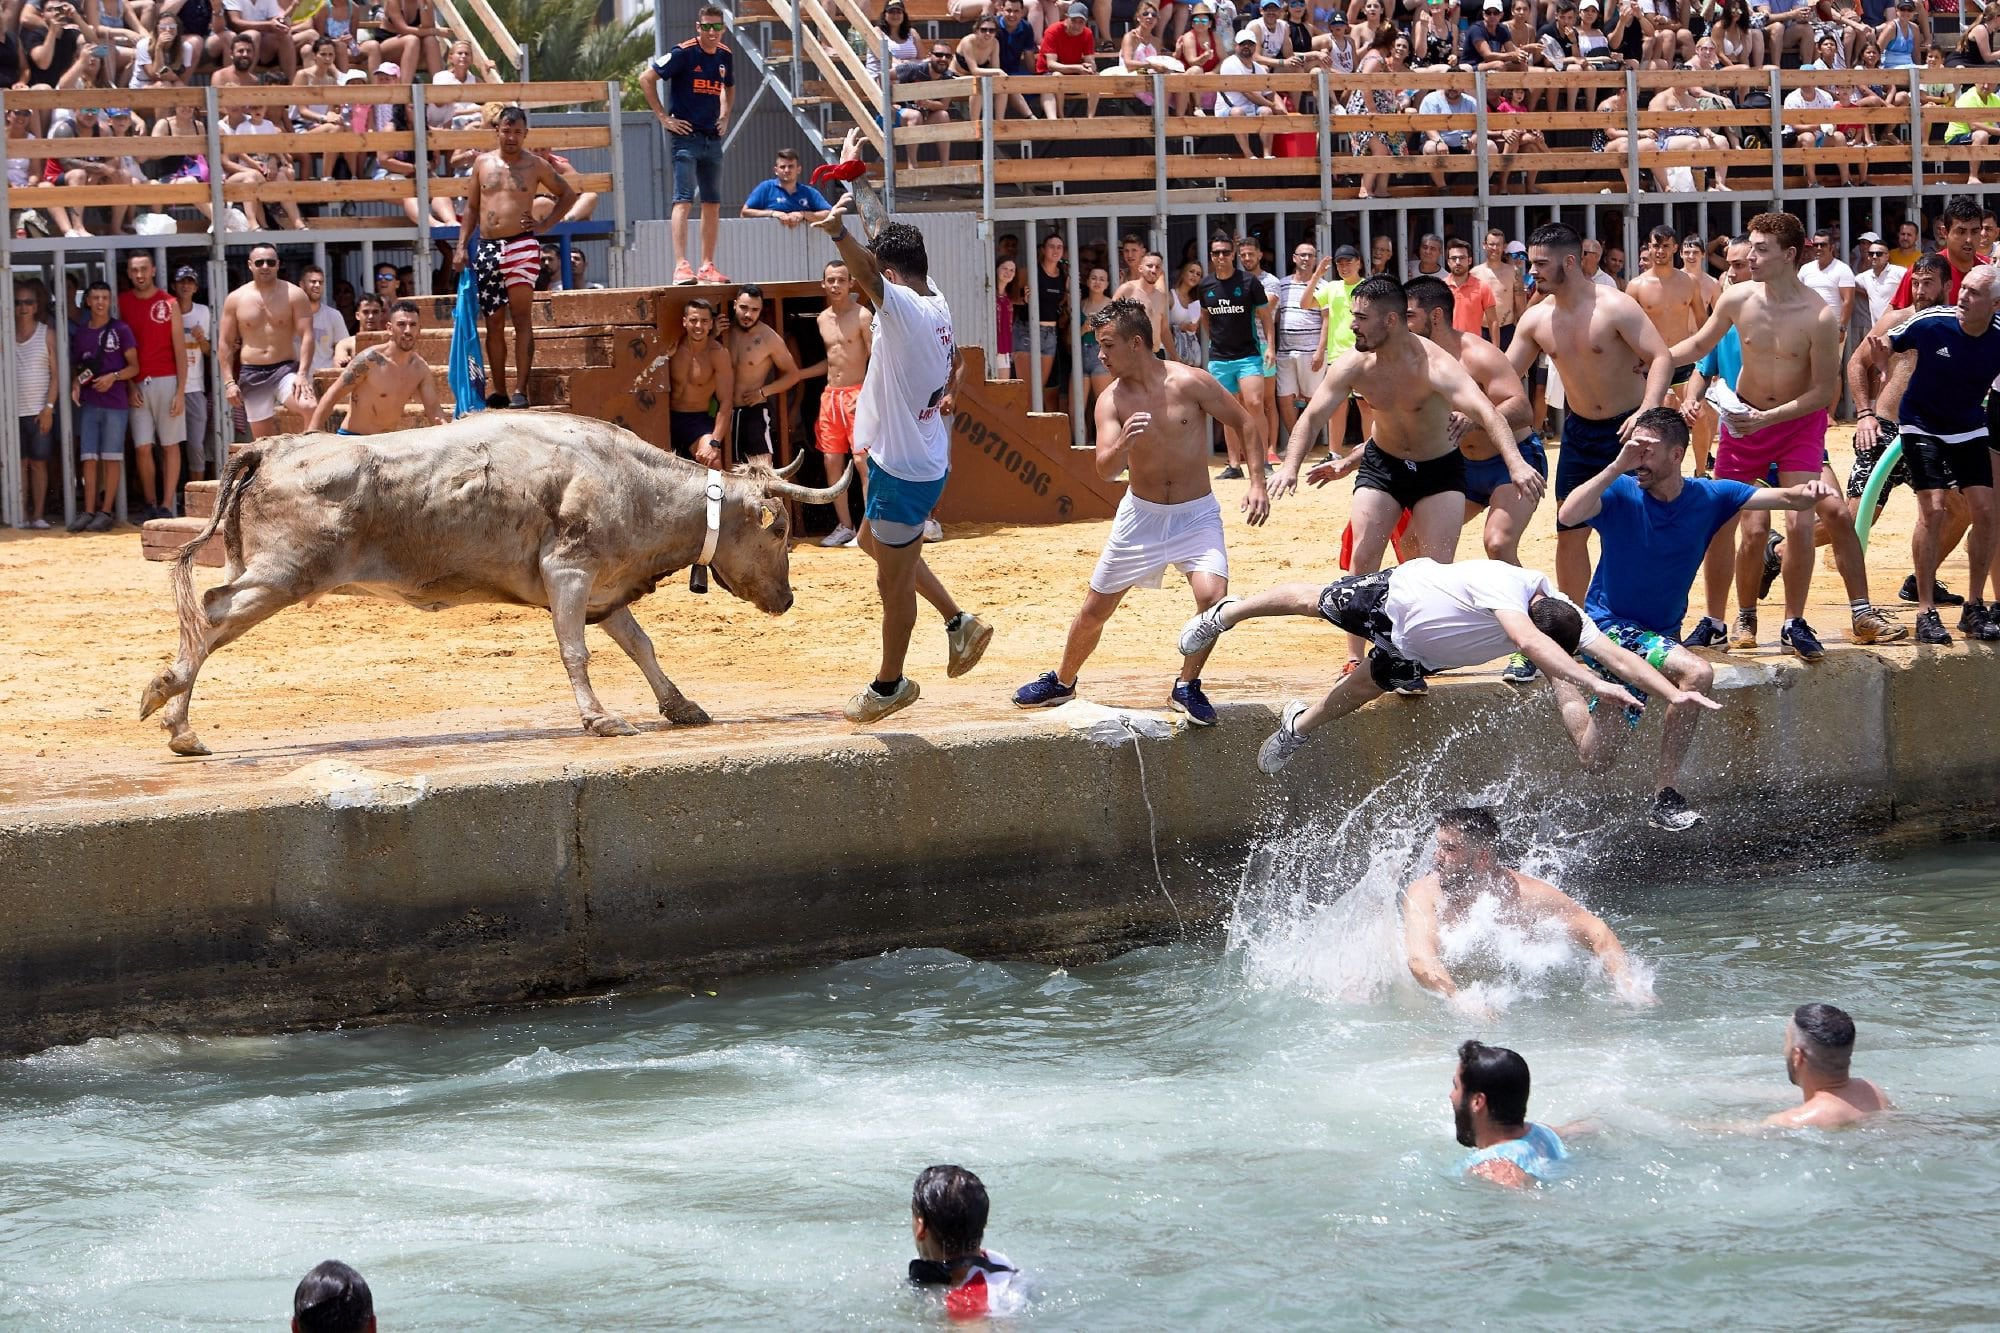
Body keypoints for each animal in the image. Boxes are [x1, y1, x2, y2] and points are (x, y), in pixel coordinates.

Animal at [135, 410, 852, 752]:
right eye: (779, 532)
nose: (788, 598)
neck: (630, 480)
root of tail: (272, 447)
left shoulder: (604, 590)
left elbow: (641, 646)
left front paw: (680, 705)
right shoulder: (569, 573)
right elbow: (576, 651)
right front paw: (599, 718)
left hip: (256, 566)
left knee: (208, 617)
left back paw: (177, 721)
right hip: (282, 573)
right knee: (212, 611)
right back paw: (170, 710)